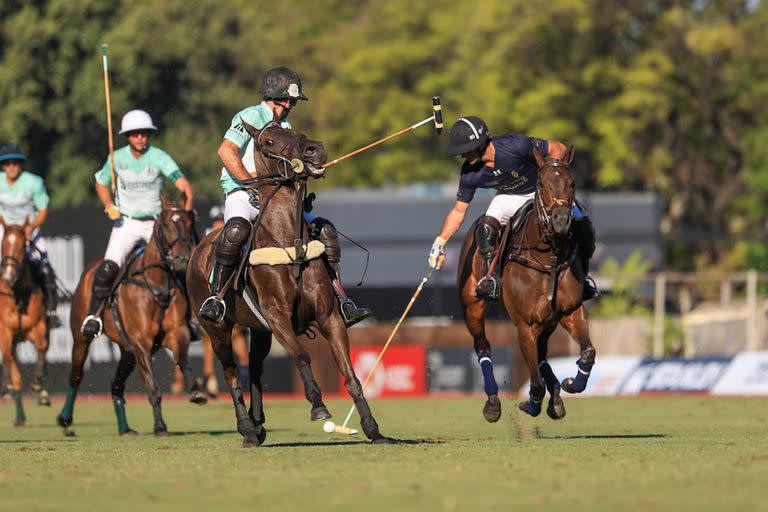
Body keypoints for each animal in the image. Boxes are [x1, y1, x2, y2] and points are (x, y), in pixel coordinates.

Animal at [57, 196, 204, 436]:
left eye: (189, 222)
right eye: (165, 225)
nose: (182, 259)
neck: (158, 284)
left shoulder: (176, 332)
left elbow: (183, 359)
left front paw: (196, 392)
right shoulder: (141, 341)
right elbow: (152, 386)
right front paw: (160, 426)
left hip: (127, 351)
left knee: (116, 384)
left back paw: (125, 428)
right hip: (82, 338)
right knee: (76, 375)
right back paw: (65, 419)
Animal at [187, 121, 390, 448]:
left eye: (298, 133)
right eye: (268, 140)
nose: (315, 150)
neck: (290, 244)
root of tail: (197, 250)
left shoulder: (329, 317)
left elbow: (350, 374)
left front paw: (373, 428)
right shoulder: (277, 315)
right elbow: (302, 355)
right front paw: (319, 407)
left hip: (259, 330)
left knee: (254, 369)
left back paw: (258, 424)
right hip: (216, 328)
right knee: (230, 372)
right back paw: (247, 429)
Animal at [460, 146, 596, 422]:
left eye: (572, 183)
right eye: (541, 183)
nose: (561, 220)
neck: (549, 258)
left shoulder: (570, 311)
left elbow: (588, 352)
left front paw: (571, 384)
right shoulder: (525, 325)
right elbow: (535, 383)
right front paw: (531, 404)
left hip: (549, 321)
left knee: (542, 354)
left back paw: (556, 398)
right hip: (472, 308)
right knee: (483, 347)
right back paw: (493, 403)